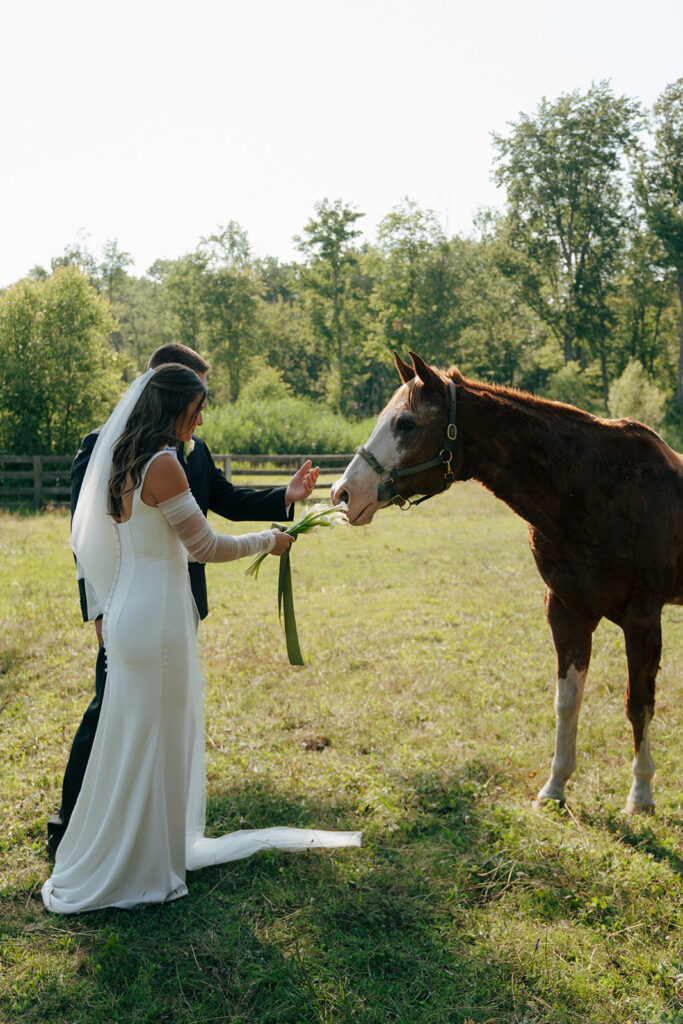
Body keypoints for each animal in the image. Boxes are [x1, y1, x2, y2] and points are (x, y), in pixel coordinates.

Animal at [331, 352, 683, 815]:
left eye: (405, 423)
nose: (343, 493)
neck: (596, 488)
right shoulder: (567, 612)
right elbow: (567, 701)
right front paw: (555, 786)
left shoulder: (642, 618)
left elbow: (638, 704)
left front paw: (641, 794)